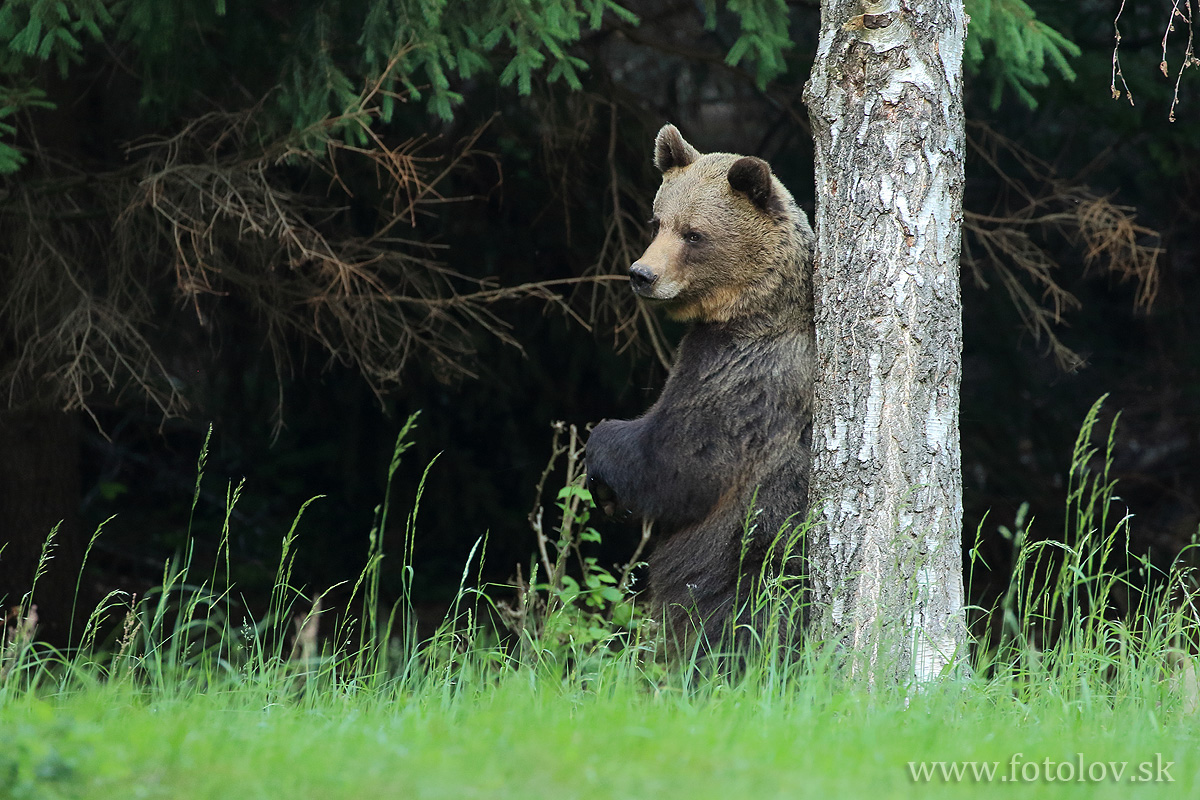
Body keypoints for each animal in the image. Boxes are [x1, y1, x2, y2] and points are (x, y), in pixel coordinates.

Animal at [588, 122, 820, 652]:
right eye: (657, 221)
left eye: (694, 233)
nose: (642, 274)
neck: (751, 305)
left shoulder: (742, 372)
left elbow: (684, 461)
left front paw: (601, 455)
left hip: (748, 558)